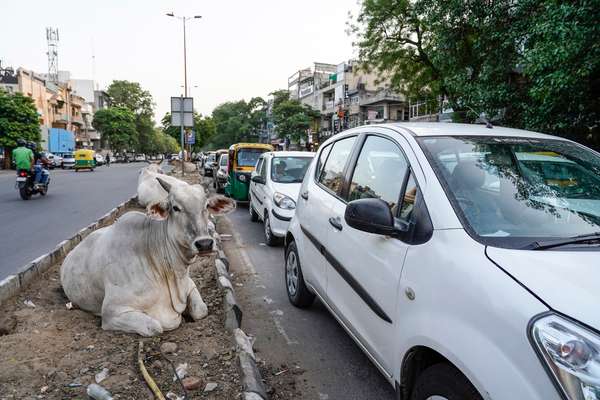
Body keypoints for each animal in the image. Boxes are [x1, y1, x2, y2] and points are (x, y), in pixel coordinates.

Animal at [60, 177, 234, 336]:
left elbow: (201, 310)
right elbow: (156, 327)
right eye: (175, 208)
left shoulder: (189, 284)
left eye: (206, 206)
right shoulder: (112, 312)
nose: (204, 244)